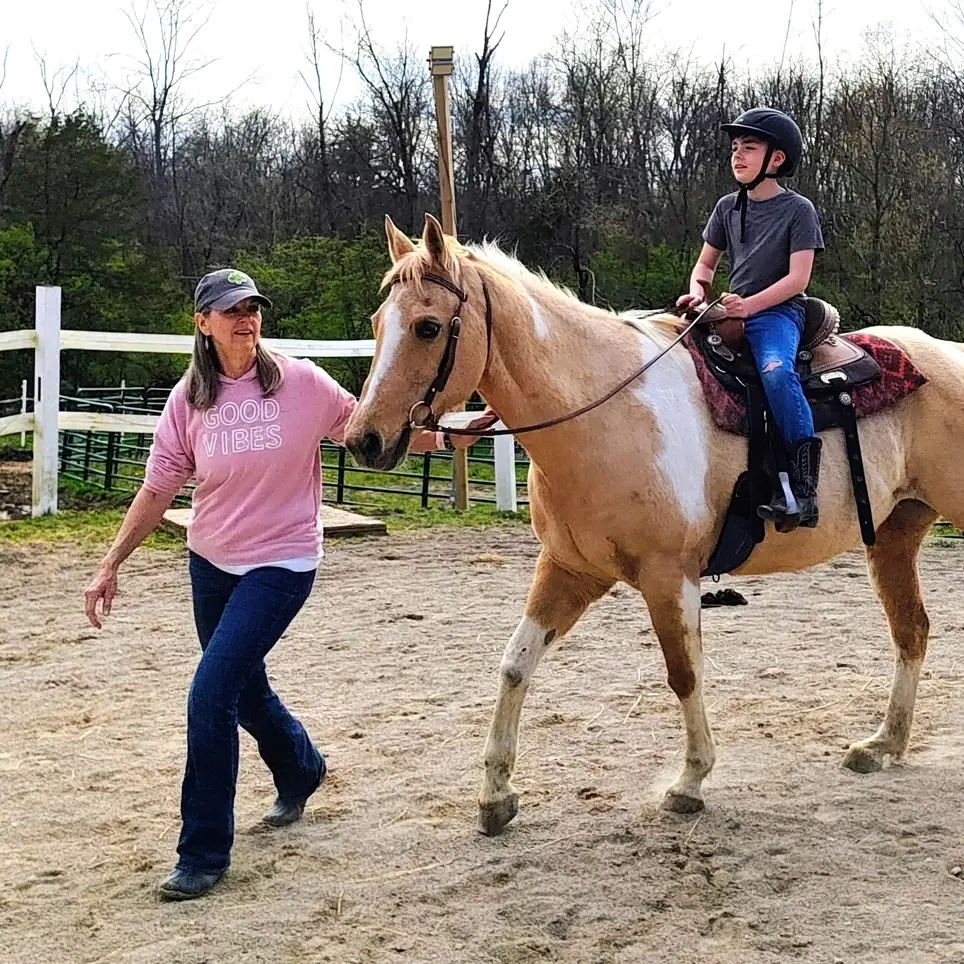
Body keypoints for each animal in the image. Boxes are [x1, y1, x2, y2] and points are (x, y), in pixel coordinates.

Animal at [344, 212, 964, 837]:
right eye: (377, 323)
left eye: (426, 327)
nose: (362, 440)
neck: (604, 412)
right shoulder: (568, 569)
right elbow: (516, 665)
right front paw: (496, 796)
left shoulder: (669, 577)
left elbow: (683, 673)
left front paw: (690, 781)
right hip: (894, 535)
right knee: (911, 630)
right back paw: (883, 745)